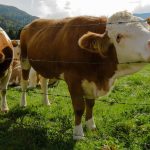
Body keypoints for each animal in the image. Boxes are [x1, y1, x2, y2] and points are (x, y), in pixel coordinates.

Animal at [19, 11, 150, 140]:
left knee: (44, 82)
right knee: (24, 83)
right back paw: (23, 103)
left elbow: (90, 105)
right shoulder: (73, 79)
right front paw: (78, 133)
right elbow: (79, 108)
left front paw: (91, 126)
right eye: (118, 36)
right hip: (24, 58)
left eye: (148, 28)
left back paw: (46, 103)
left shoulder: (91, 81)